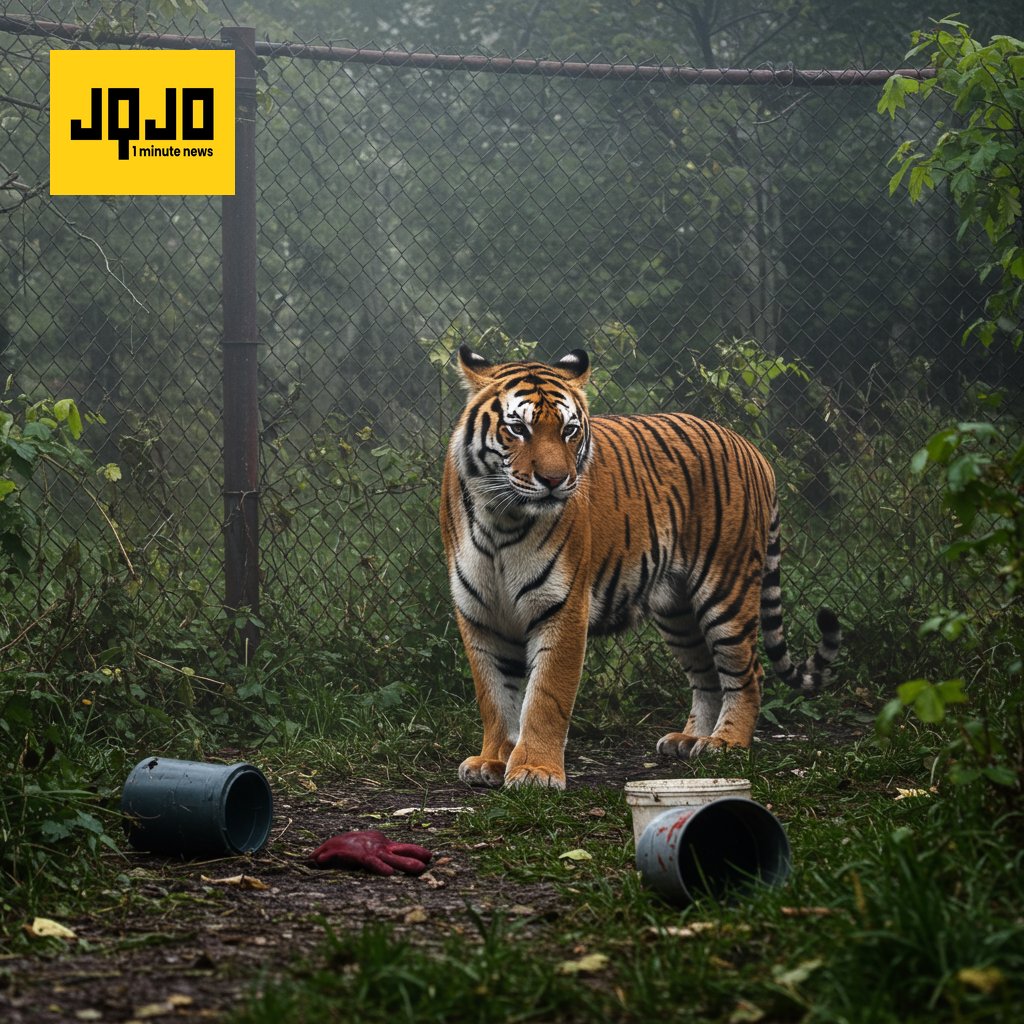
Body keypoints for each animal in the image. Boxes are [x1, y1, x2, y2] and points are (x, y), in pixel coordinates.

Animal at [440, 345, 841, 789]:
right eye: (518, 429)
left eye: (569, 430)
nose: (555, 480)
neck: (501, 518)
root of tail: (753, 449)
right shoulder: (480, 614)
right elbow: (494, 695)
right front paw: (492, 761)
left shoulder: (562, 608)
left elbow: (545, 697)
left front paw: (535, 771)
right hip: (678, 610)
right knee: (706, 675)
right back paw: (690, 739)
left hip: (727, 591)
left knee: (748, 673)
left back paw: (726, 743)